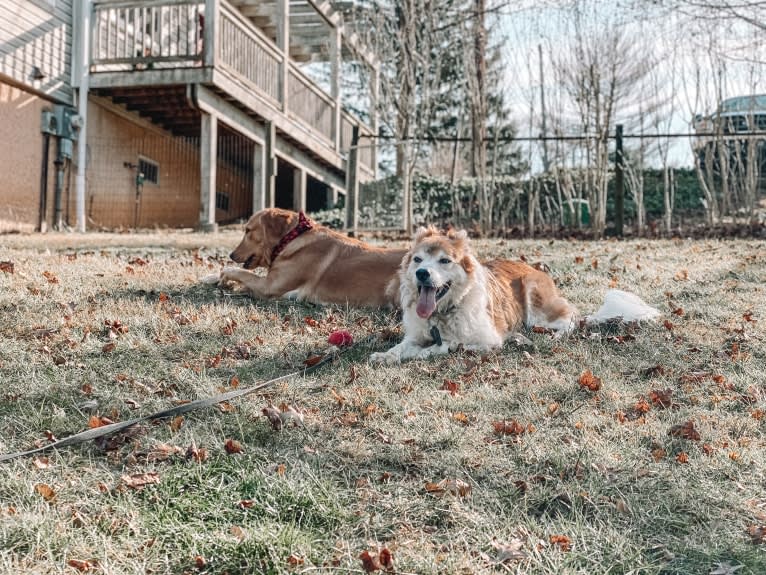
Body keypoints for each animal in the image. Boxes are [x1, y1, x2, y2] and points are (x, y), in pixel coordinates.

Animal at [370, 226, 660, 364]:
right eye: (417, 259)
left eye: (444, 261)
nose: (422, 273)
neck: (443, 313)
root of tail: (533, 268)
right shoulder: (416, 334)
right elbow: (402, 346)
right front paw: (387, 355)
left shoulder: (486, 340)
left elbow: (441, 347)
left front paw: (424, 352)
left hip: (537, 304)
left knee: (569, 320)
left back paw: (555, 335)